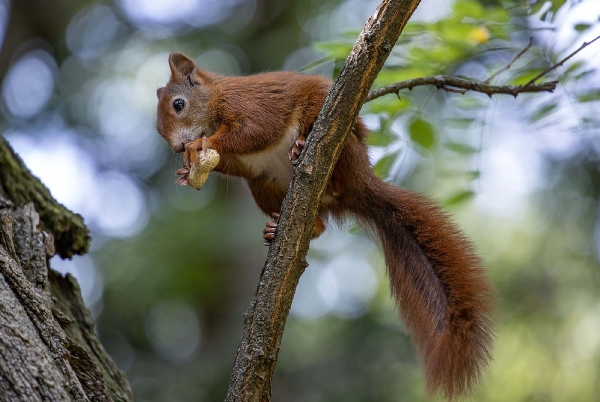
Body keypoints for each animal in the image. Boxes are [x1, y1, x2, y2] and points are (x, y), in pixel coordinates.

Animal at [157, 52, 494, 398]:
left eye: (178, 104)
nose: (177, 149)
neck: (214, 101)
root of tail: (361, 186)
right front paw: (186, 171)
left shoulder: (250, 104)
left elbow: (256, 130)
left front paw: (202, 145)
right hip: (263, 184)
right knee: (313, 222)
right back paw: (279, 228)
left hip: (344, 150)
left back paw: (303, 148)